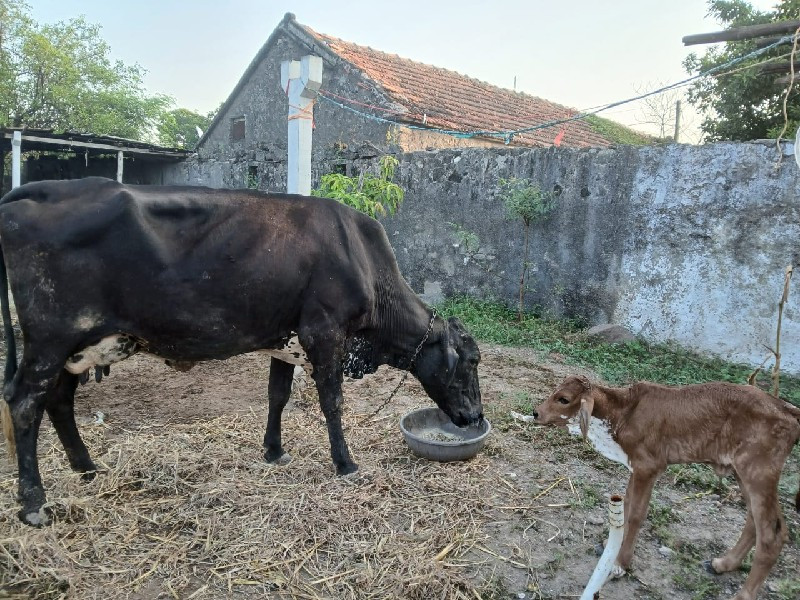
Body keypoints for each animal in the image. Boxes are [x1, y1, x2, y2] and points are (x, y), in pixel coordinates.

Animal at [0, 177, 482, 524]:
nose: (475, 417)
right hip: (50, 339)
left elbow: (277, 396)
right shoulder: (325, 333)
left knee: (58, 401)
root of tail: (41, 189)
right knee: (24, 403)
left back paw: (87, 468)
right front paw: (345, 463)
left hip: (73, 347)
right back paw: (34, 503)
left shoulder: (286, 340)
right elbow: (332, 401)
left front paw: (273, 451)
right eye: (471, 362)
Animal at [532, 376, 800, 600]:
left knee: (772, 533)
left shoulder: (649, 467)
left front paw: (620, 563)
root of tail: (787, 410)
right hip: (741, 472)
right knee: (755, 521)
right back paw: (724, 564)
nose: (536, 413)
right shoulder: (635, 466)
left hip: (758, 471)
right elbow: (626, 505)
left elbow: (637, 514)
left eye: (563, 399)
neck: (623, 412)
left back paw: (742, 595)